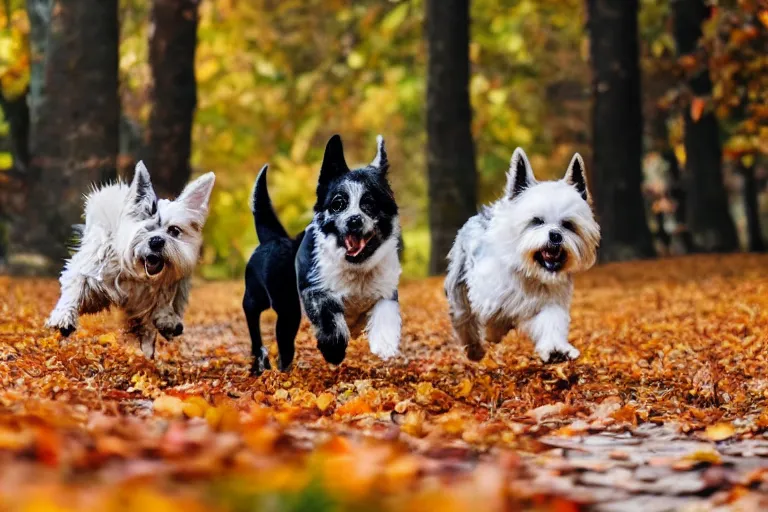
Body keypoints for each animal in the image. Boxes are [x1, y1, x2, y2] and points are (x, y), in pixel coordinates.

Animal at [47, 162, 216, 358]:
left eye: (174, 230)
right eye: (145, 227)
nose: (156, 241)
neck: (138, 275)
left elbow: (162, 302)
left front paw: (165, 321)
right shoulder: (89, 271)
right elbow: (74, 287)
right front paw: (63, 317)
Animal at [244, 135, 402, 376]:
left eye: (369, 203)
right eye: (338, 204)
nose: (354, 220)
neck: (356, 268)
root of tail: (273, 238)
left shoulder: (386, 291)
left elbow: (386, 313)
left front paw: (384, 344)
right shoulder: (316, 291)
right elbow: (330, 320)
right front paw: (334, 352)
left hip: (287, 313)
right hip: (268, 300)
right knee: (253, 316)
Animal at [444, 148, 600, 364]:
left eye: (567, 224)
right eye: (537, 221)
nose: (555, 235)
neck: (529, 271)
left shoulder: (549, 302)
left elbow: (551, 323)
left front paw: (557, 351)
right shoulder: (487, 294)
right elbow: (494, 315)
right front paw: (493, 332)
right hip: (459, 287)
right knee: (463, 319)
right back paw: (474, 350)